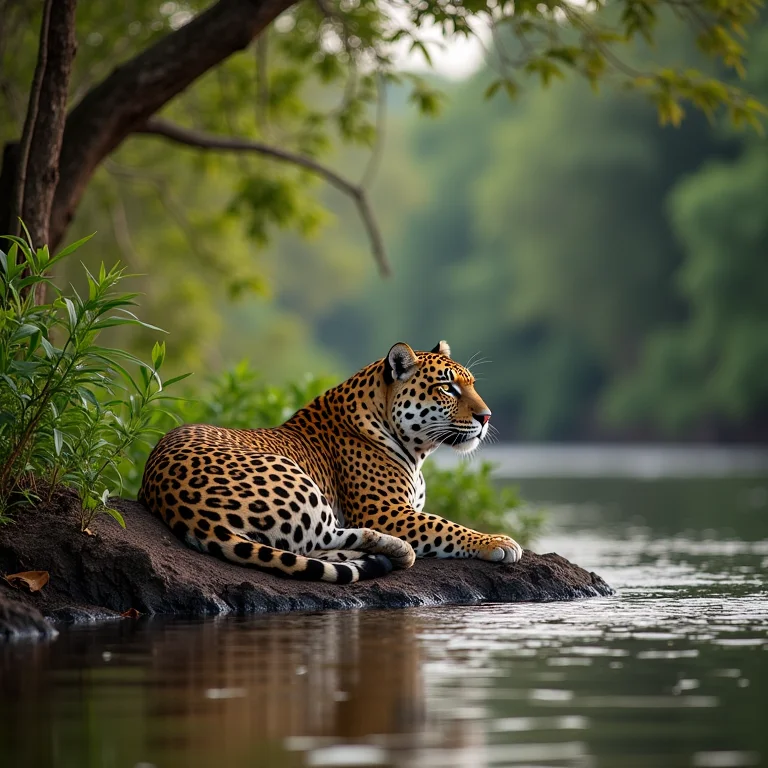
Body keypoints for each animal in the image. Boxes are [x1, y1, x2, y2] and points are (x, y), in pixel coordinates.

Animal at [139, 340, 523, 583]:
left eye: (471, 384)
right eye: (447, 389)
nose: (487, 416)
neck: (418, 453)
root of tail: (180, 505)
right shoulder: (383, 511)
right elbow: (446, 525)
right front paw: (498, 542)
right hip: (298, 482)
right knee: (323, 539)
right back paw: (397, 550)